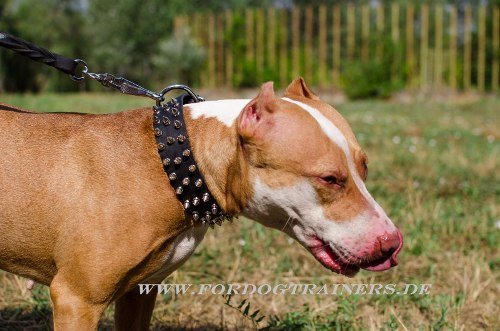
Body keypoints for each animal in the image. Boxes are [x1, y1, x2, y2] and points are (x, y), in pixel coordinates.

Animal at [0, 78, 400, 330]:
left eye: (365, 167)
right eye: (330, 179)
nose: (393, 243)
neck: (171, 165)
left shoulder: (139, 293)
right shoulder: (77, 300)